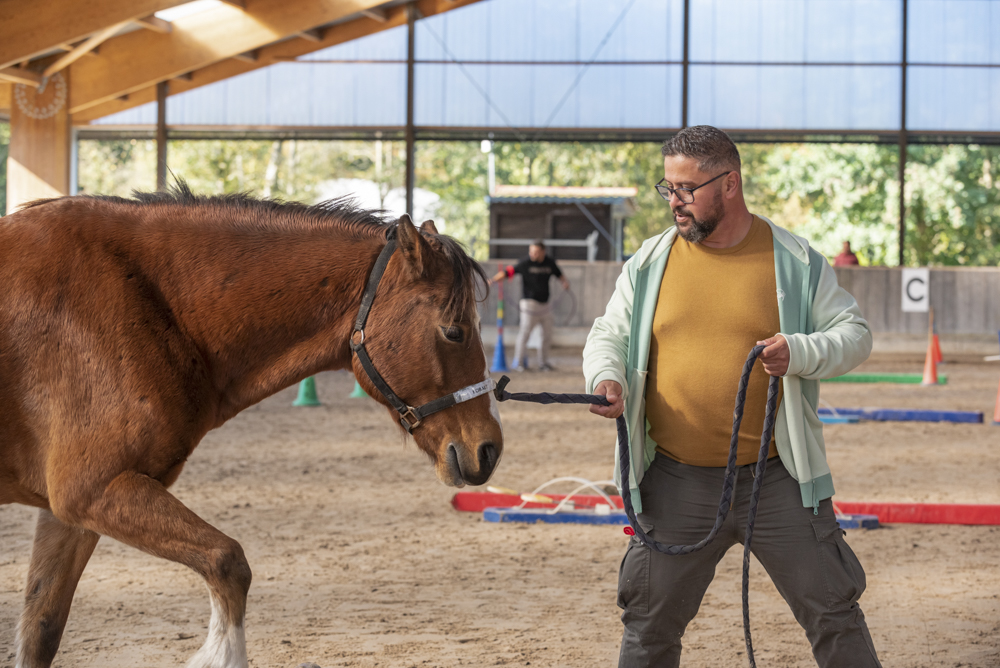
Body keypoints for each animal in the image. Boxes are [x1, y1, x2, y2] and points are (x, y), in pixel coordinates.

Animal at [0, 184, 504, 668]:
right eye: (454, 331)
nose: (490, 449)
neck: (143, 300)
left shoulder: (70, 510)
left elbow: (41, 630)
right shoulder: (95, 490)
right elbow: (228, 562)